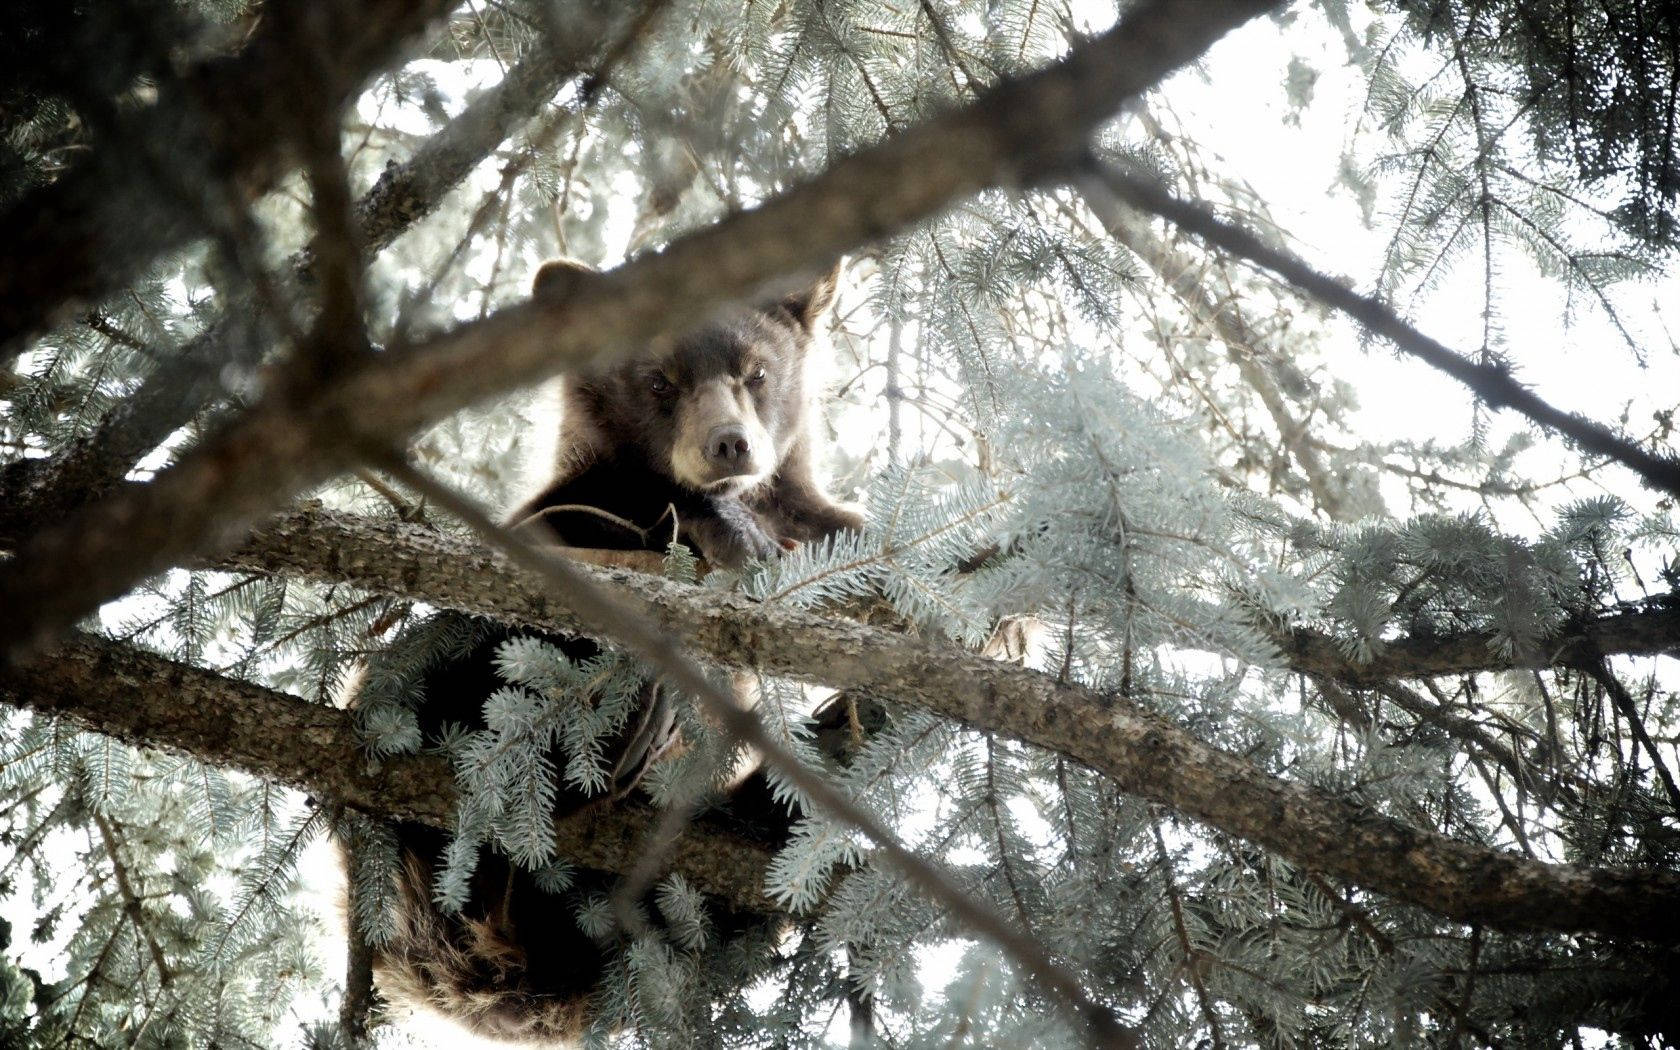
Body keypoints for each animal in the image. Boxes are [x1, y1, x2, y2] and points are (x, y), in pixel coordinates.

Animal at [359, 255, 860, 1041]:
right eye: (659, 381)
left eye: (756, 372)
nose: (728, 444)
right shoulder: (568, 507)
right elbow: (581, 520)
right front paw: (725, 526)